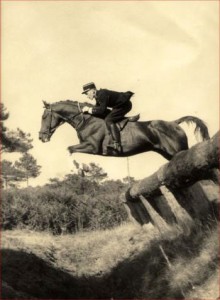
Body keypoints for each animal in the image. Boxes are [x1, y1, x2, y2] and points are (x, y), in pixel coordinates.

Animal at [38, 99, 209, 161]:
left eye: (44, 117)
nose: (41, 137)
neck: (86, 120)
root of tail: (174, 123)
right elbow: (71, 149)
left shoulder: (92, 147)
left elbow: (70, 149)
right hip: (168, 154)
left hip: (177, 150)